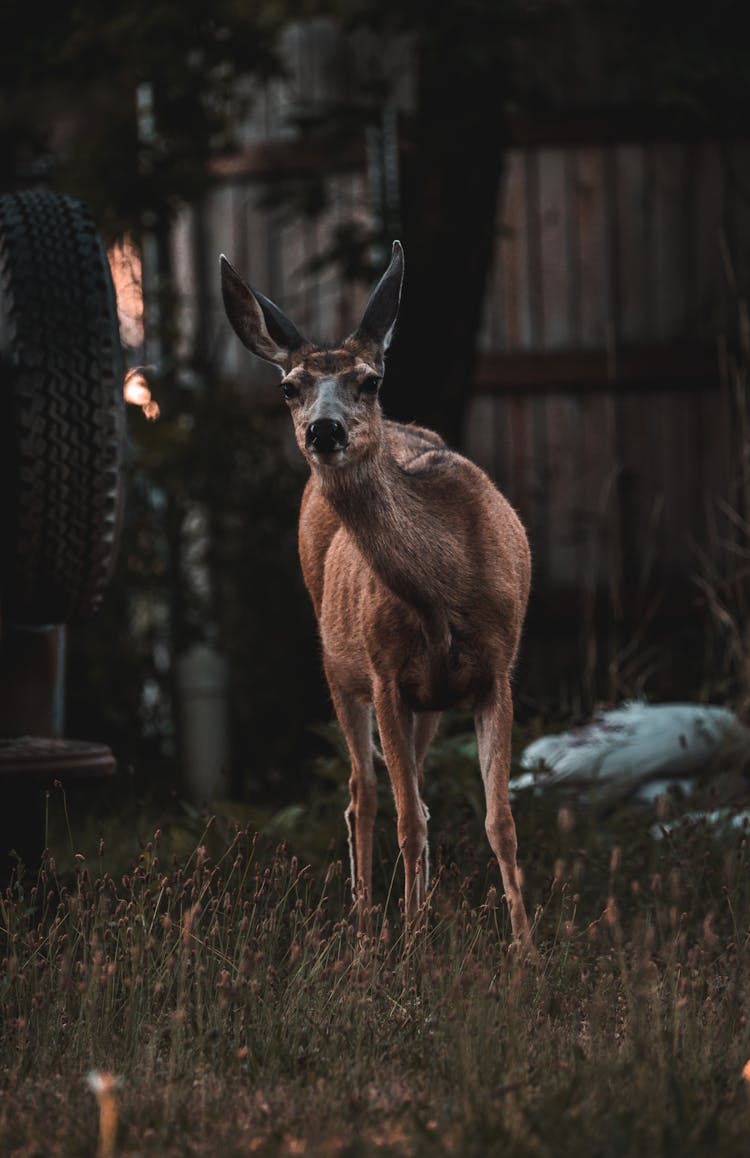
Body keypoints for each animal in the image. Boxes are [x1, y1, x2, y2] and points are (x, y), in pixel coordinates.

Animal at [219, 242, 537, 949]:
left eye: (370, 381)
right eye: (289, 387)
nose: (326, 430)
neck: (444, 591)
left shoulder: (496, 672)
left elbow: (498, 819)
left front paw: (526, 952)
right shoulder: (386, 675)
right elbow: (406, 819)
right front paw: (414, 946)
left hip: (430, 704)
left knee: (407, 794)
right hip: (340, 669)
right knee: (362, 792)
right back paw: (367, 931)